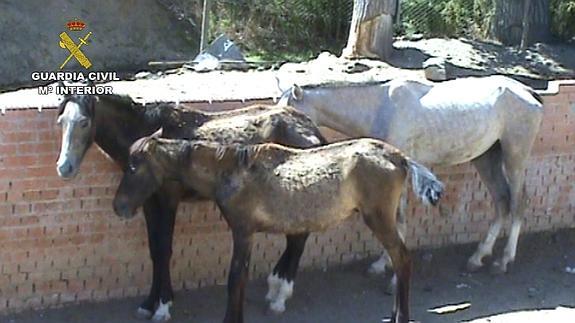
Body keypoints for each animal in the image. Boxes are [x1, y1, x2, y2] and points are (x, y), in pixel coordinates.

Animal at [56, 90, 328, 322]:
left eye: (84, 122)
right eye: (61, 122)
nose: (64, 167)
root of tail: (311, 128)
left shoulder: (168, 201)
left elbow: (164, 250)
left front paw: (163, 306)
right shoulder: (149, 203)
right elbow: (154, 250)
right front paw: (149, 303)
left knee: (298, 237)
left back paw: (280, 295)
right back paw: (275, 288)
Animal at [111, 137, 446, 323]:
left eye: (134, 165)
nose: (119, 206)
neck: (231, 170)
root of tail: (400, 158)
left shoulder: (243, 231)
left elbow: (236, 278)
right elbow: (241, 278)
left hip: (379, 218)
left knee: (402, 259)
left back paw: (401, 316)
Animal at [280, 76, 544, 276]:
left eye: (290, 111)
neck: (382, 108)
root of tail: (528, 92)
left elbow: (399, 218)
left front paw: (382, 264)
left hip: (514, 158)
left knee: (518, 203)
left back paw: (503, 261)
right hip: (486, 158)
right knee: (502, 202)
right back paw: (477, 257)